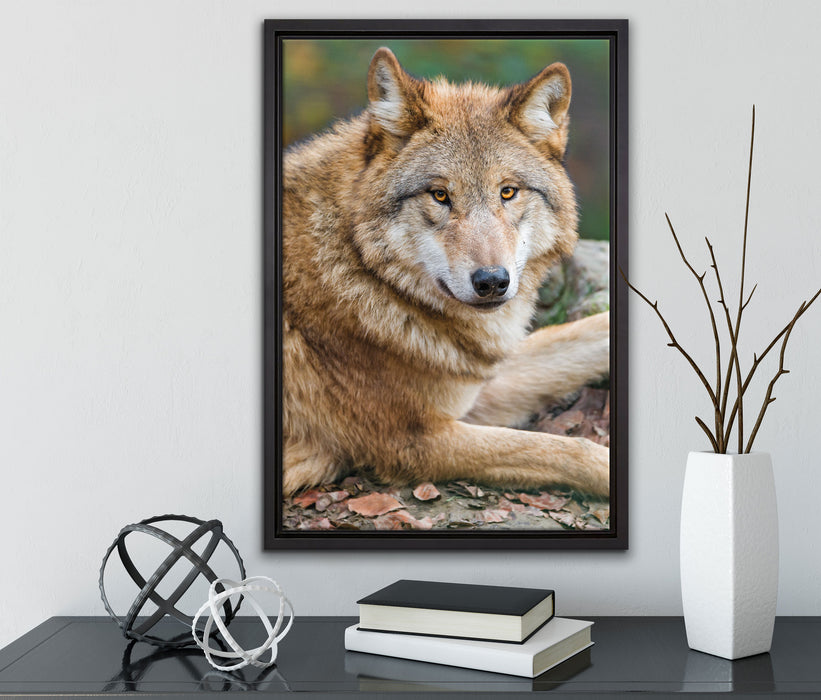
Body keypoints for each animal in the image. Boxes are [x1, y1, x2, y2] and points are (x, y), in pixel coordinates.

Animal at [281, 47, 610, 499]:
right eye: (440, 195)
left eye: (508, 192)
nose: (492, 281)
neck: (361, 271)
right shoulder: (417, 440)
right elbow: (567, 449)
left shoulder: (472, 384)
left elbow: (588, 332)